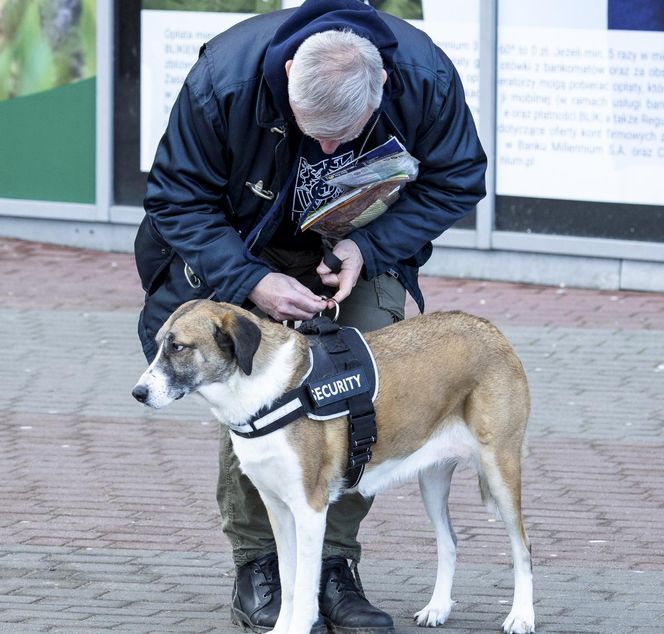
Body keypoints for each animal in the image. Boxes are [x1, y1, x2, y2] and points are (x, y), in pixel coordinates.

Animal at [132, 300, 536, 632]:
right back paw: (438, 608)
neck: (262, 393)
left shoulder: (310, 509)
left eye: (179, 347)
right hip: (432, 480)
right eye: (160, 343)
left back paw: (521, 616)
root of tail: (488, 327)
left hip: (499, 469)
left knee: (523, 547)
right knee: (449, 541)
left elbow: (304, 585)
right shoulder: (278, 508)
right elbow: (288, 581)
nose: (138, 394)